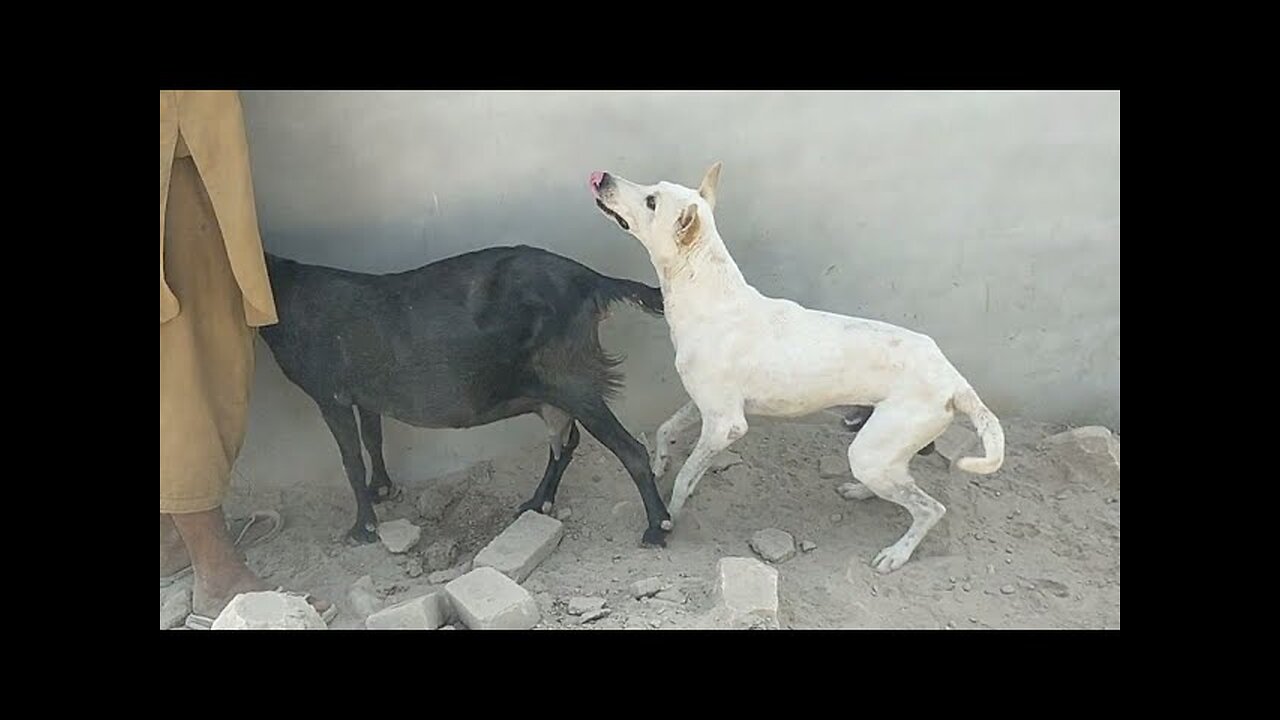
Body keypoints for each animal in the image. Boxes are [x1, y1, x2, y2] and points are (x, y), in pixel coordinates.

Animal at [257, 244, 670, 543]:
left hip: (571, 379)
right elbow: (373, 437)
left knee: (629, 449)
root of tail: (591, 279)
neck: (284, 291)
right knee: (566, 444)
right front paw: (382, 489)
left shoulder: (331, 394)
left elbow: (351, 459)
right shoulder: (366, 394)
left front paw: (363, 528)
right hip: (555, 391)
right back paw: (538, 502)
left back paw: (657, 527)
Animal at [591, 162, 1008, 571]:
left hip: (873, 451)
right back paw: (861, 490)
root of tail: (955, 380)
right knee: (900, 481)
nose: (602, 177)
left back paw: (897, 553)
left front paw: (668, 519)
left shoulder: (726, 425)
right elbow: (666, 429)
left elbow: (687, 476)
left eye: (651, 201)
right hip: (880, 452)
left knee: (929, 508)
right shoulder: (703, 405)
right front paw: (660, 463)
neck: (710, 297)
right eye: (653, 188)